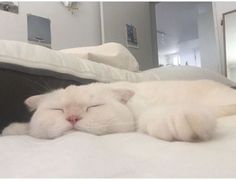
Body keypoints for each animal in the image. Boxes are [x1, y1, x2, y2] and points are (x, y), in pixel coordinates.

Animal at [1, 79, 236, 141]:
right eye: (58, 110)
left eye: (93, 107)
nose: (73, 118)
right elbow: (29, 129)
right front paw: (12, 130)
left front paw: (182, 119)